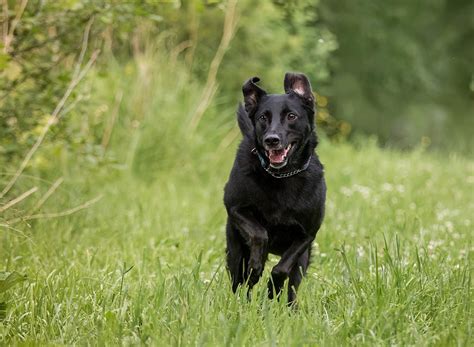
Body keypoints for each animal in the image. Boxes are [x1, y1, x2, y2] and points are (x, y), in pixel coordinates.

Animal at [223, 71, 326, 304]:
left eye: (291, 116)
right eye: (263, 117)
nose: (272, 140)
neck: (281, 177)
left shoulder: (307, 235)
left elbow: (282, 269)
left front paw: (272, 288)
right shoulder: (235, 208)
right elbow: (259, 234)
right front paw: (256, 267)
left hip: (303, 260)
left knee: (293, 284)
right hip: (234, 248)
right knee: (238, 280)